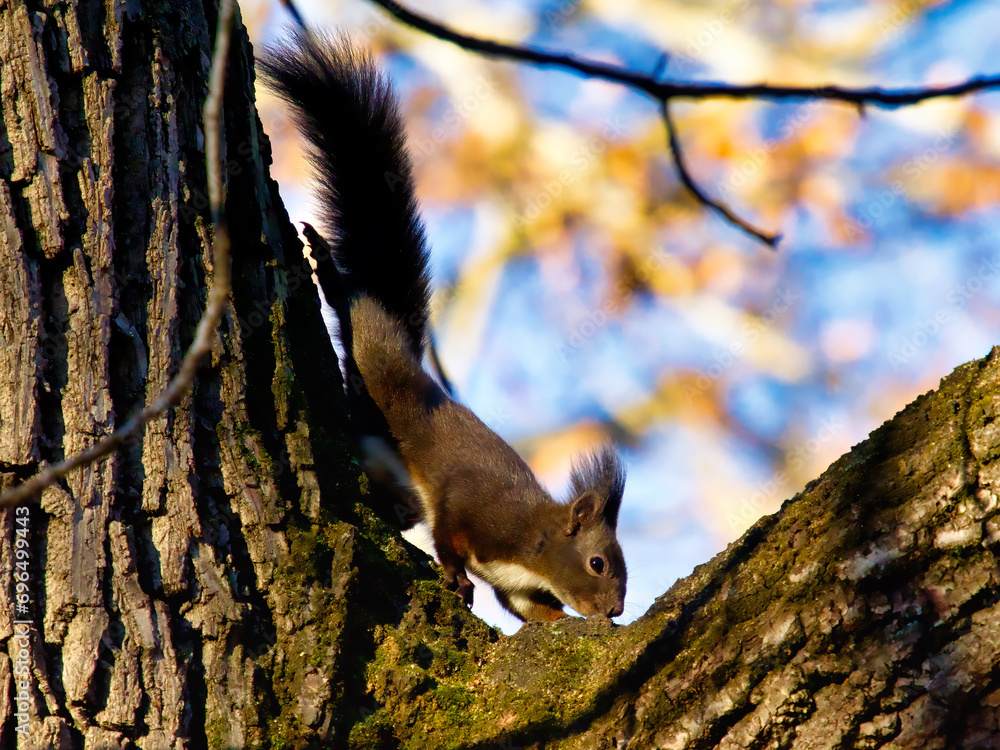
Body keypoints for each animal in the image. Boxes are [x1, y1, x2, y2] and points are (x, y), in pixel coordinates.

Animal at [260, 33, 627, 622]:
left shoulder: (519, 586)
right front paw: (456, 577)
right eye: (597, 563)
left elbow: (532, 611)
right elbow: (450, 532)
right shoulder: (476, 509)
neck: (536, 543)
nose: (614, 610)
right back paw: (328, 267)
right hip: (379, 362)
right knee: (361, 316)